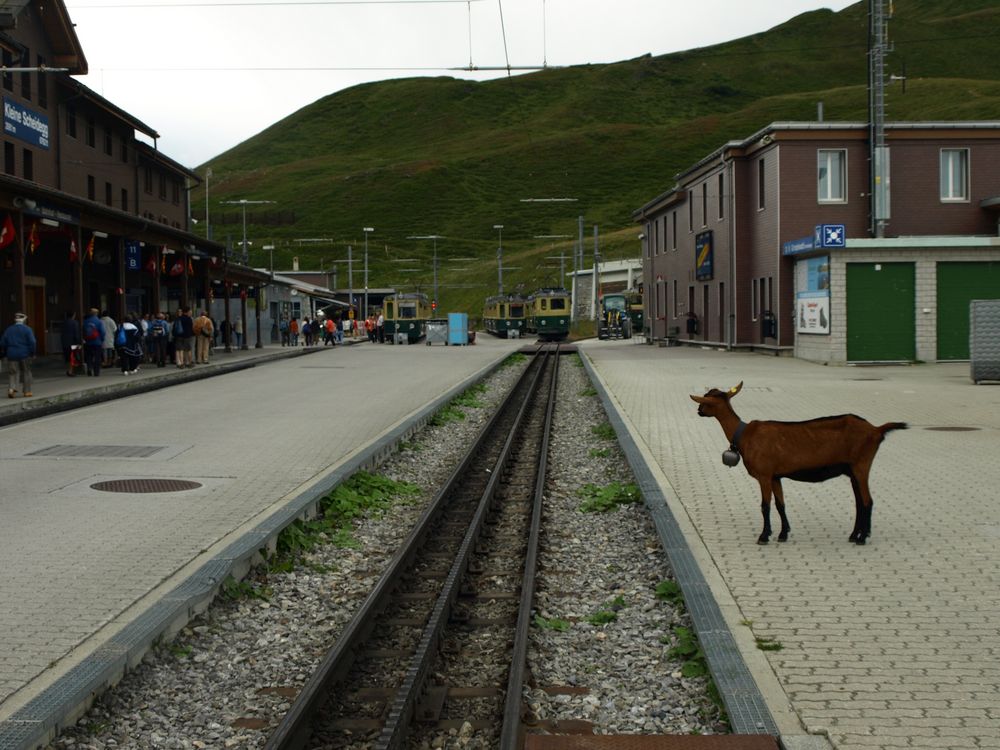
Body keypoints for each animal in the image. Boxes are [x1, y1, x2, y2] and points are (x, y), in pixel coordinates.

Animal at [692, 384, 912, 544]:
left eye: (706, 400)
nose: (698, 410)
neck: (744, 435)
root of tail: (876, 430)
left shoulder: (764, 474)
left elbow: (765, 505)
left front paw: (764, 536)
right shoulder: (776, 476)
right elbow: (781, 504)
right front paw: (783, 534)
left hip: (862, 465)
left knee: (868, 501)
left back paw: (862, 538)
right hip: (852, 470)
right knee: (859, 502)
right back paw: (853, 535)